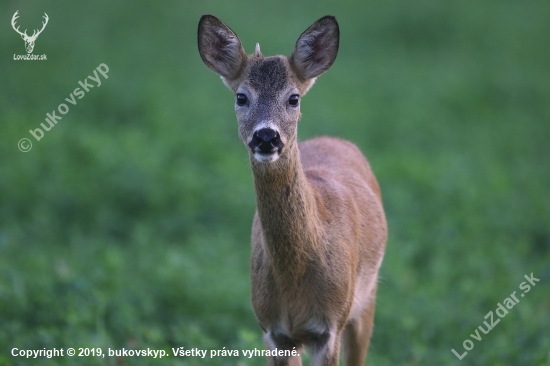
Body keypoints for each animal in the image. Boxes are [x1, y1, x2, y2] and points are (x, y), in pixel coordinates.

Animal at [198, 15, 388, 366]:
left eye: (293, 98)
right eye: (241, 97)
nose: (266, 136)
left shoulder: (330, 326)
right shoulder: (273, 331)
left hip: (366, 299)